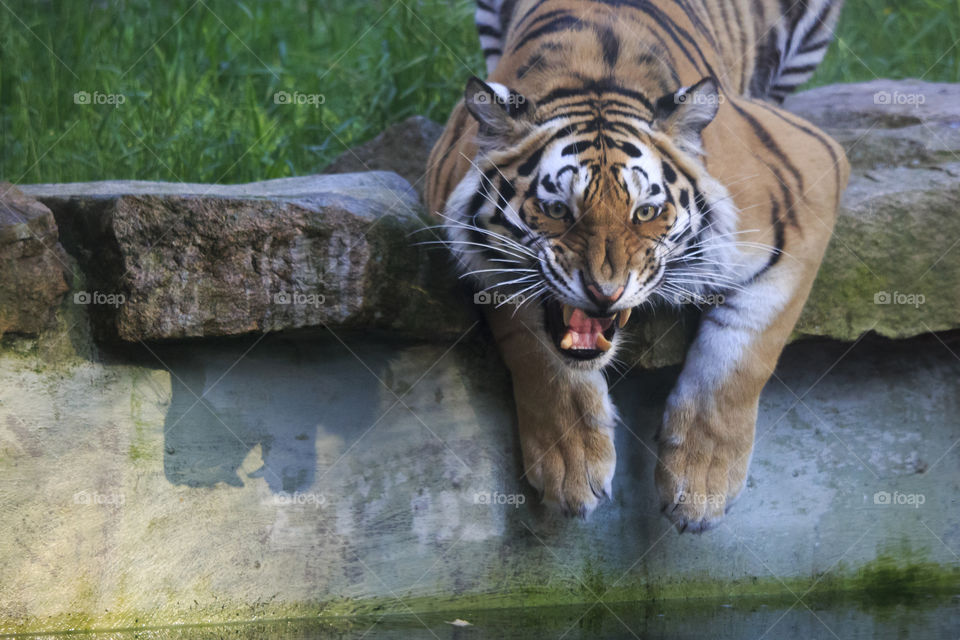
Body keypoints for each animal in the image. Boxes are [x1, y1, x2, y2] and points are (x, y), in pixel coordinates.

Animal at [425, 0, 848, 532]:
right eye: (558, 209)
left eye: (646, 212)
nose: (605, 293)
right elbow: (532, 344)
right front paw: (572, 466)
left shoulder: (807, 185)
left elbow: (743, 351)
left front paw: (701, 484)